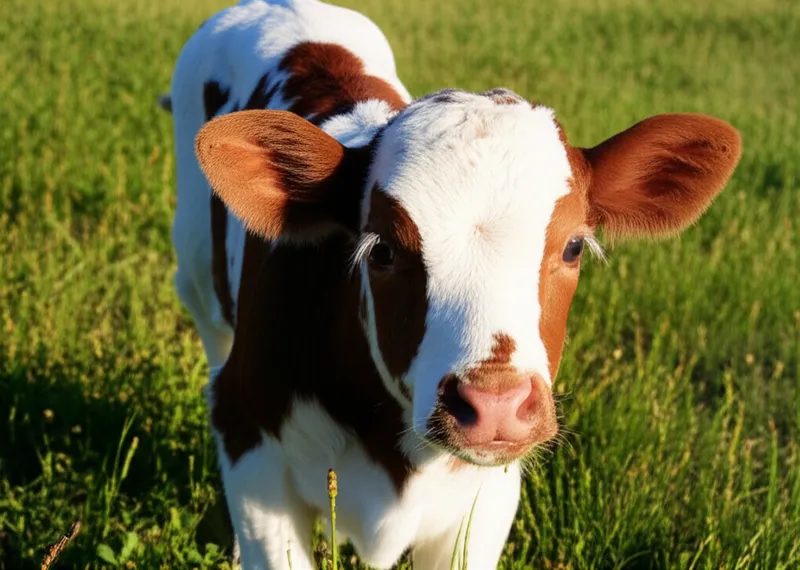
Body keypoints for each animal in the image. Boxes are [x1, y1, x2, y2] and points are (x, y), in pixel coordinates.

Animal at [161, 0, 742, 568]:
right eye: (383, 249)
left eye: (574, 246)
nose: (496, 404)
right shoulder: (253, 449)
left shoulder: (485, 499)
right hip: (195, 272)